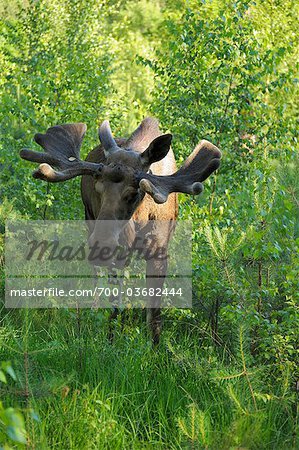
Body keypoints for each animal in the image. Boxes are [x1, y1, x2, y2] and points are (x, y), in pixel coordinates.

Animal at [19, 118, 221, 342]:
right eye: (98, 187)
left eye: (134, 193)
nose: (101, 243)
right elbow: (115, 305)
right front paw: (111, 339)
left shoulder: (159, 250)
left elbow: (154, 314)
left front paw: (155, 346)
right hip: (89, 222)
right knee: (98, 280)